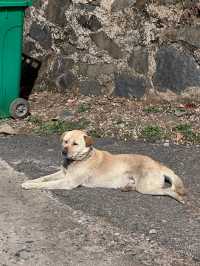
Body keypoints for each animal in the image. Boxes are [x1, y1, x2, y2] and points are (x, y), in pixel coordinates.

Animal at [21, 130, 186, 203]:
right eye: (65, 141)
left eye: (75, 144)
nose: (63, 151)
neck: (78, 159)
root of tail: (158, 164)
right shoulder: (62, 174)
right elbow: (43, 178)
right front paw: (30, 181)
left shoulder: (68, 182)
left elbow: (47, 183)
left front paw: (30, 186)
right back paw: (127, 187)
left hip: (146, 187)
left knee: (168, 191)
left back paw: (178, 197)